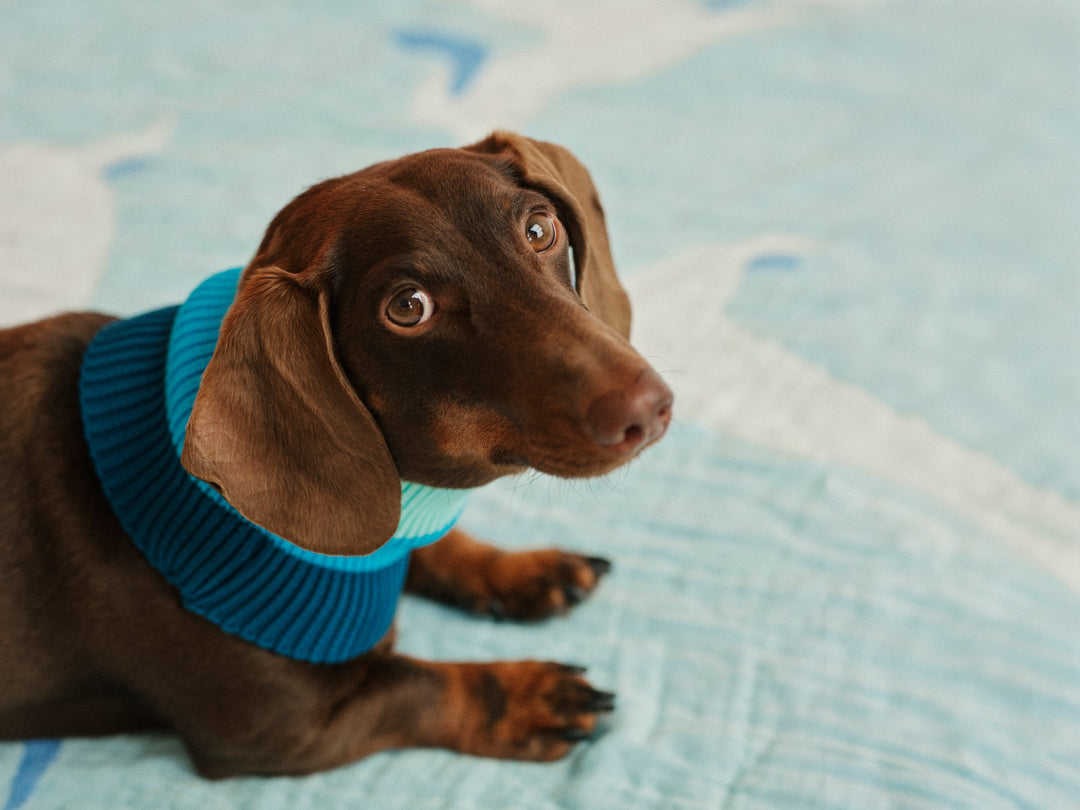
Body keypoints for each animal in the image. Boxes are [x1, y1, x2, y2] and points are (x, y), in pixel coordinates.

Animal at [0, 133, 669, 781]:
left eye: (539, 229)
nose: (649, 407)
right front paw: (526, 694)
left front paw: (519, 570)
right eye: (408, 307)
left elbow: (428, 544)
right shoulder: (286, 727)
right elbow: (419, 687)